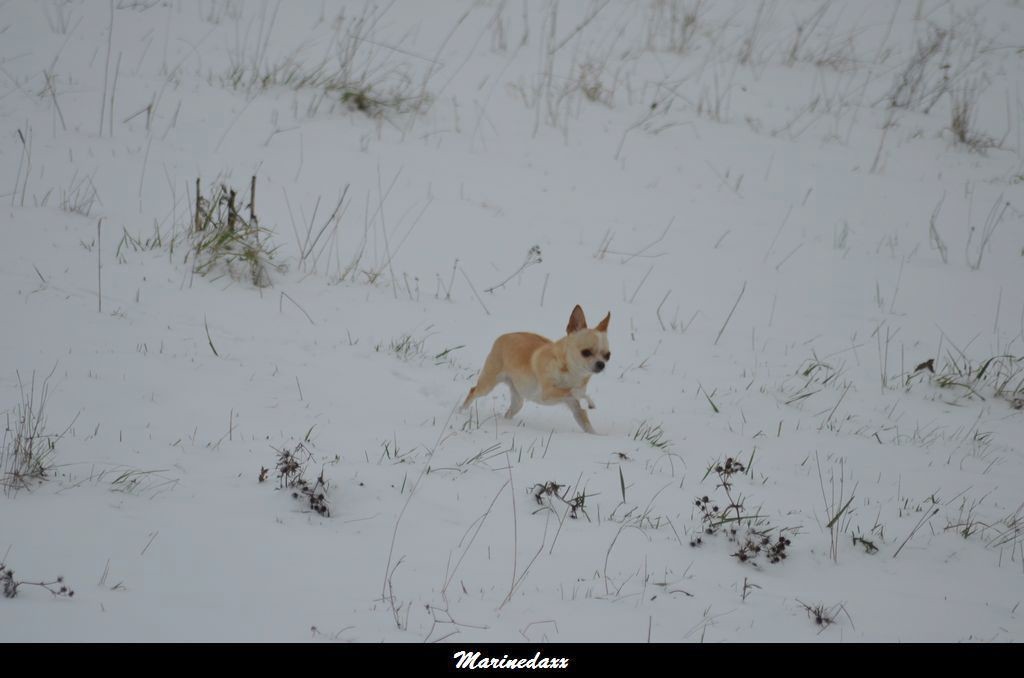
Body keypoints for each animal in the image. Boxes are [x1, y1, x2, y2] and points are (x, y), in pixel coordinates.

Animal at [462, 305, 606, 432]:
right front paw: (588, 400)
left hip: (518, 400)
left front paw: (598, 437)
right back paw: (461, 412)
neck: (571, 373)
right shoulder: (547, 394)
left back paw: (507, 423)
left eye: (607, 355)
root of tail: (504, 335)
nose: (601, 364)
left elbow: (585, 422)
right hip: (488, 384)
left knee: (510, 411)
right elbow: (573, 391)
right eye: (586, 352)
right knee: (473, 391)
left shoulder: (575, 408)